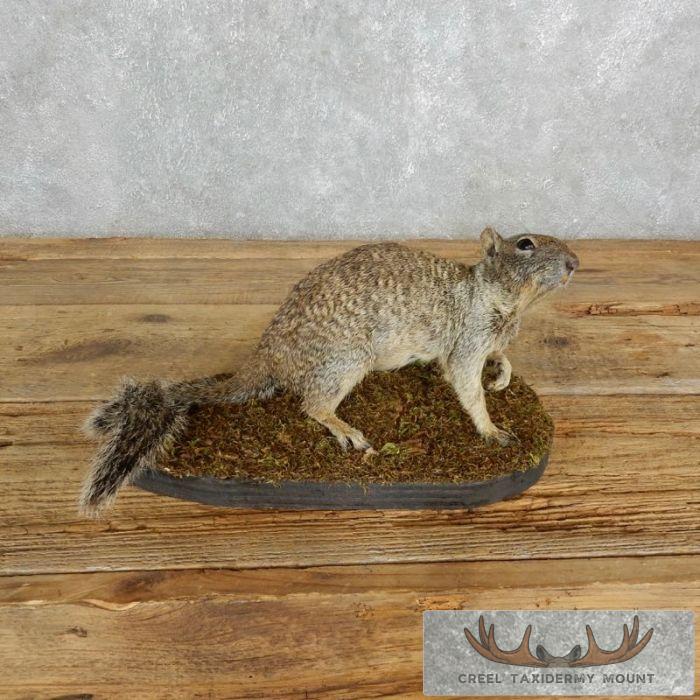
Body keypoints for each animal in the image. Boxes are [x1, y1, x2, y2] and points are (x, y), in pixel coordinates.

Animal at [79, 227, 578, 516]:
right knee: (312, 405)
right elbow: (465, 386)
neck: (507, 302)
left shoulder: (488, 339)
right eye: (526, 244)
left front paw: (503, 376)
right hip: (344, 362)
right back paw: (347, 430)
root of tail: (270, 355)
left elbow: (500, 360)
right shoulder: (468, 342)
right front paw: (492, 429)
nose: (575, 263)